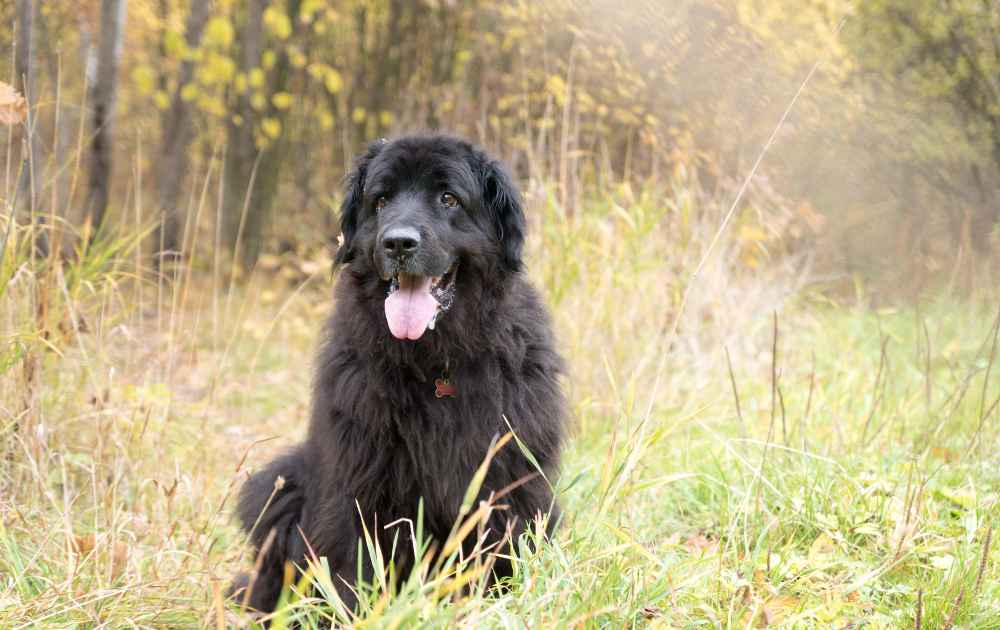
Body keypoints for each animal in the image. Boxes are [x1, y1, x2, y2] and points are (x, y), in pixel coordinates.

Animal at [229, 136, 568, 616]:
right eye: (382, 200)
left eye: (449, 198)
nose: (398, 243)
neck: (435, 363)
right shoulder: (359, 475)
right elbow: (352, 557)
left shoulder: (506, 478)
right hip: (280, 486)